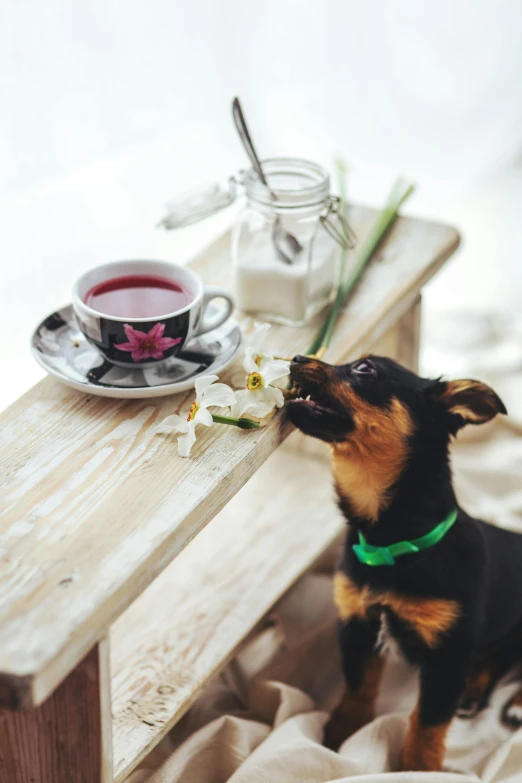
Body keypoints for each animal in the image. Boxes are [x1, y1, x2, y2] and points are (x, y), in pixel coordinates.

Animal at [286, 356, 520, 772]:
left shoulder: (447, 653)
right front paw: (341, 733)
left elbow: (428, 720)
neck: (393, 543)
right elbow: (358, 685)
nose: (297, 358)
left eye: (365, 369)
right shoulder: (357, 624)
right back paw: (474, 690)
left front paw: (418, 769)